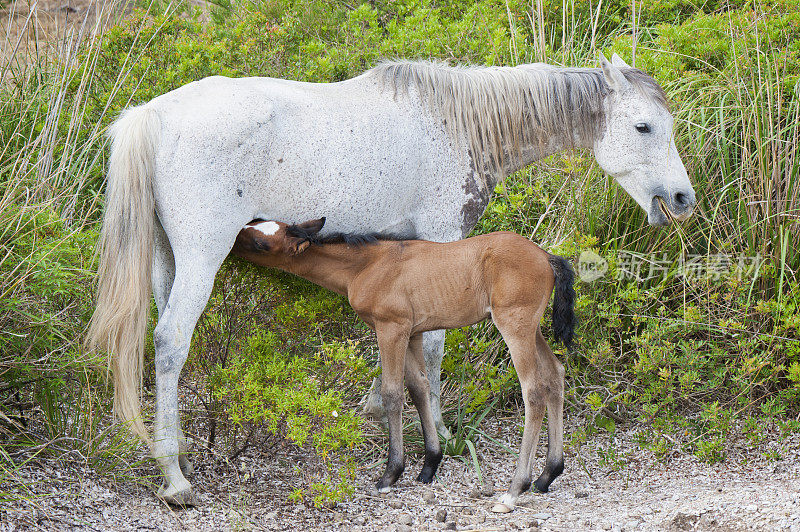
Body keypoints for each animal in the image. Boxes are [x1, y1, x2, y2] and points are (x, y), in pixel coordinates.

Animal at [231, 215, 576, 512]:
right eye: (256, 223)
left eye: (261, 243)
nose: (232, 241)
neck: (367, 265)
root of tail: (547, 257)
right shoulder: (412, 332)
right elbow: (419, 387)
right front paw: (429, 465)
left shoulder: (390, 328)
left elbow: (393, 393)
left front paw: (390, 474)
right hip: (532, 328)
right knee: (556, 374)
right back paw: (547, 476)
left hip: (514, 325)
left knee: (534, 390)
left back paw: (515, 489)